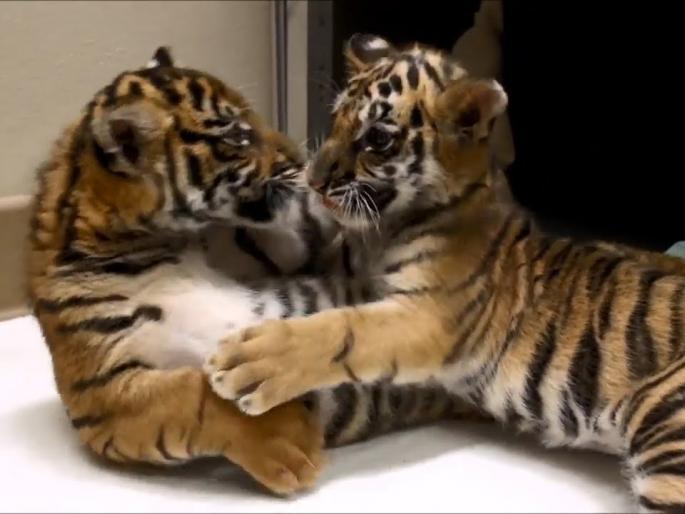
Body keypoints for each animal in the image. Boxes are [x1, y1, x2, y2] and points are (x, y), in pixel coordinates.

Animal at [27, 46, 468, 496]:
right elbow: (193, 397)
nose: (303, 162)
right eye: (237, 137)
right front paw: (289, 443)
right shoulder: (102, 394)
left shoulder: (278, 247)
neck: (156, 243)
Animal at [206, 35, 685, 511]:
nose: (314, 179)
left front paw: (249, 361)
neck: (382, 230)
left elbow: (344, 330)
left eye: (376, 138)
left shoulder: (430, 314)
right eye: (336, 118)